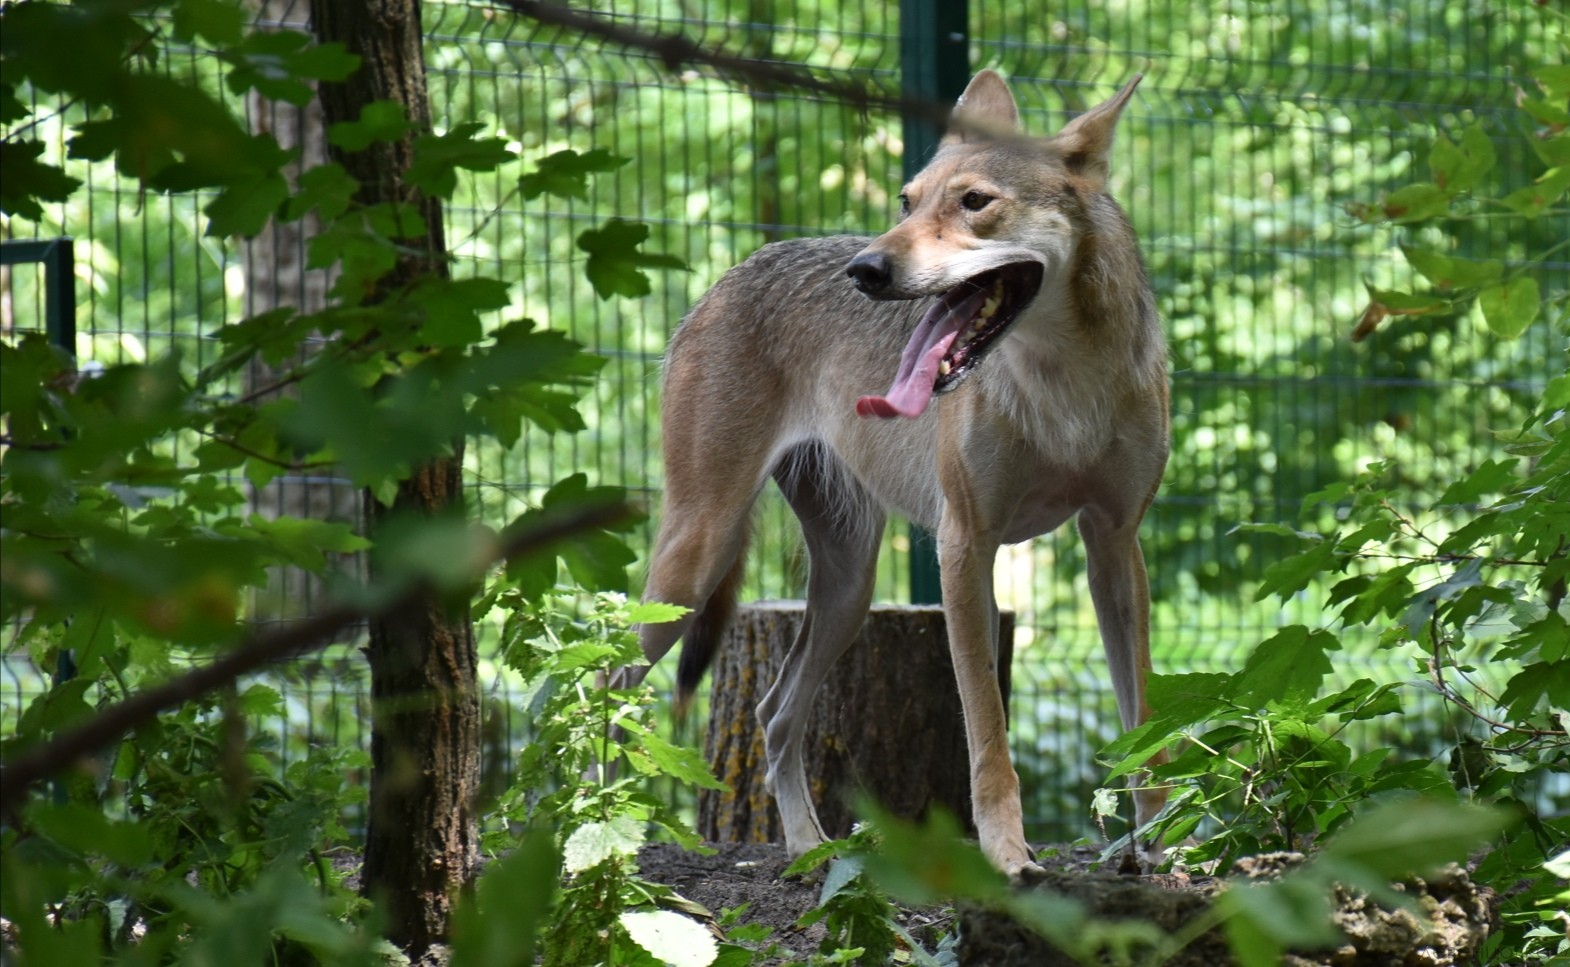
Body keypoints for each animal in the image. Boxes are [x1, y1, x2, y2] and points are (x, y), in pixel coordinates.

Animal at [634, 71, 1168, 879]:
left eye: (974, 201)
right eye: (906, 201)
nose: (864, 271)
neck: (1063, 386)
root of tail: (727, 276)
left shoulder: (1113, 544)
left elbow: (1143, 724)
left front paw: (1170, 845)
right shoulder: (964, 546)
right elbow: (988, 735)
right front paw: (1008, 857)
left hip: (848, 591)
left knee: (773, 712)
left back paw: (808, 852)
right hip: (695, 562)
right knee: (593, 681)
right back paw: (595, 833)